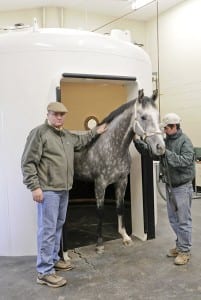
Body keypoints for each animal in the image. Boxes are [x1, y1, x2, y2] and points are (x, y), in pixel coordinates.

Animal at [73, 89, 164, 253]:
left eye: (158, 116)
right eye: (143, 117)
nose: (160, 147)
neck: (112, 147)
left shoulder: (122, 181)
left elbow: (120, 207)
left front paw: (125, 236)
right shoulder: (100, 184)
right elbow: (100, 212)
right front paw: (99, 244)